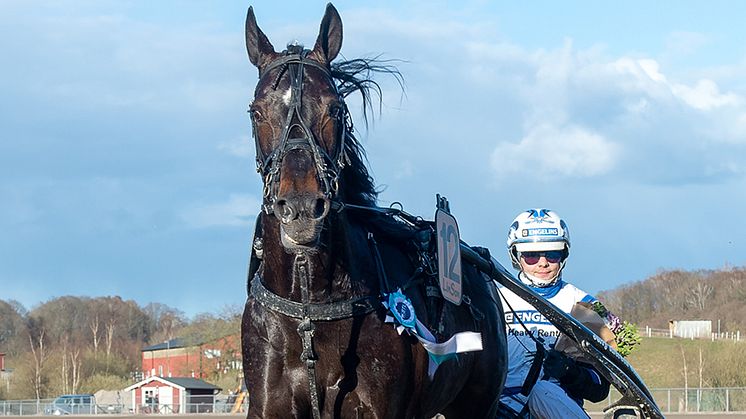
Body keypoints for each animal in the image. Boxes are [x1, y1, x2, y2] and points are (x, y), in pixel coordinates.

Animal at [241, 4, 508, 419]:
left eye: (335, 108)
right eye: (256, 112)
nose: (301, 209)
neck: (310, 309)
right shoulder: (268, 405)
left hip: (478, 404)